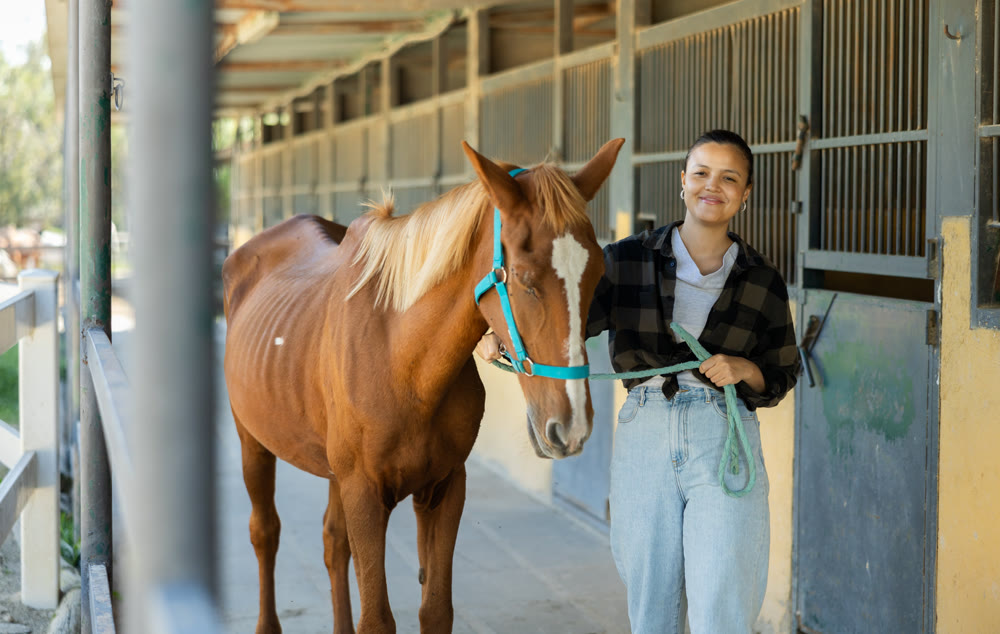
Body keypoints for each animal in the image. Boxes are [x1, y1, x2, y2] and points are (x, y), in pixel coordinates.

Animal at [222, 138, 624, 633]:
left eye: (597, 274)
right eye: (525, 279)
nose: (571, 428)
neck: (402, 360)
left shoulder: (445, 487)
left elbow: (435, 610)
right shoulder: (364, 496)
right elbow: (376, 618)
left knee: (333, 544)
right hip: (252, 442)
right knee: (265, 532)